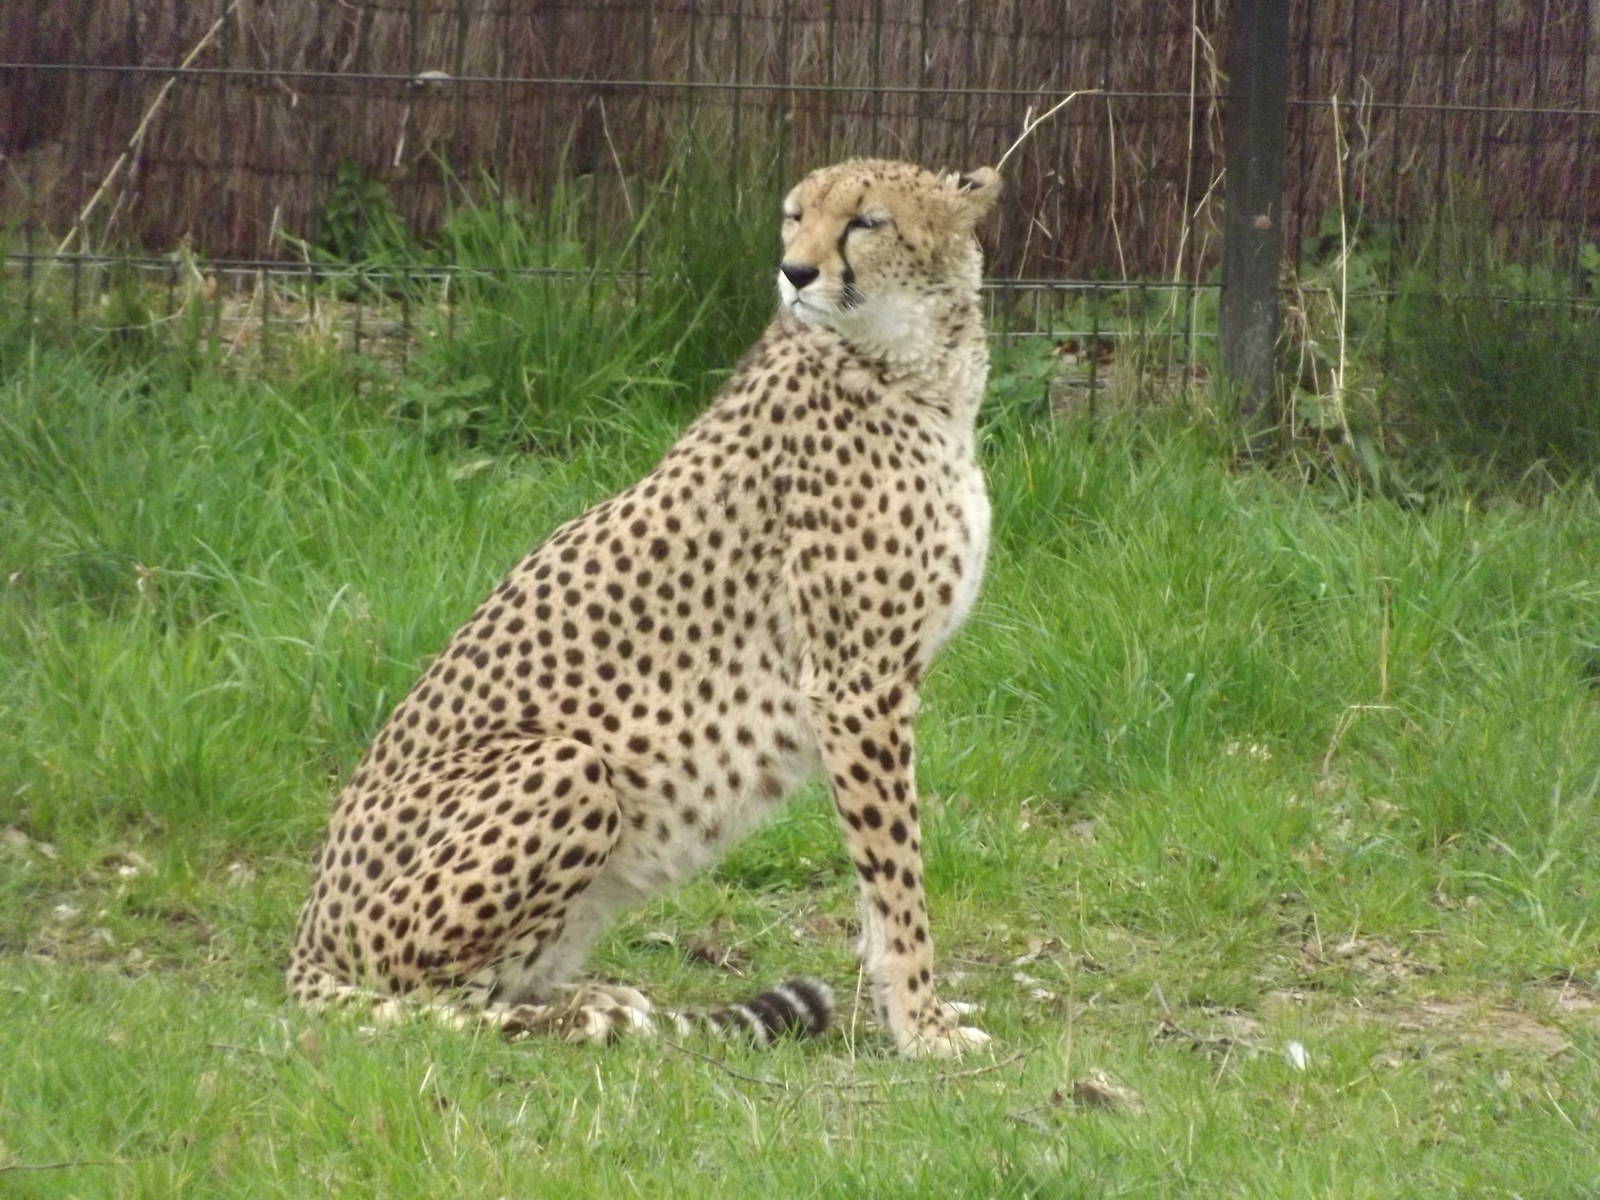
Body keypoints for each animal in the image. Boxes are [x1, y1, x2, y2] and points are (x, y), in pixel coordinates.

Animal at [288, 157, 1002, 1057]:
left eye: (866, 222)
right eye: (794, 215)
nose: (795, 272)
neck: (912, 363)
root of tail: (304, 941)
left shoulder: (868, 689)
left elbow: (877, 882)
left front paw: (902, 1009)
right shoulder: (856, 685)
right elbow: (899, 878)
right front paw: (922, 1026)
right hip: (567, 766)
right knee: (442, 1004)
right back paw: (588, 1016)